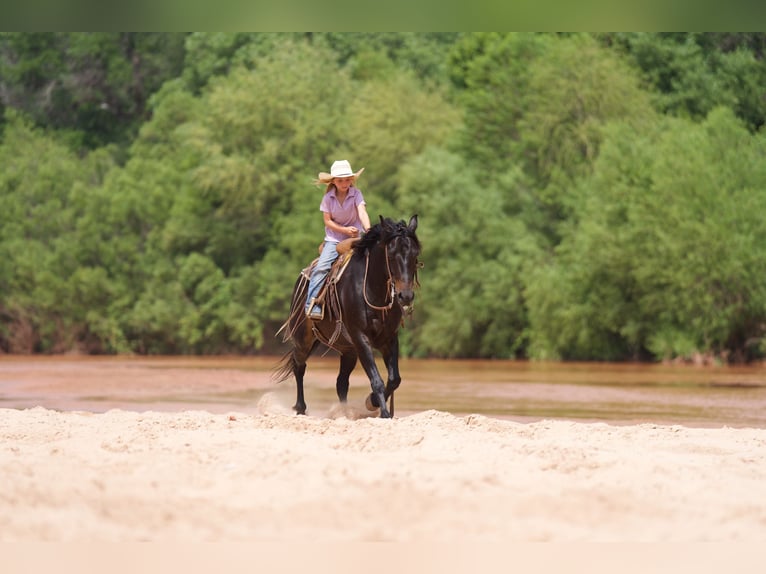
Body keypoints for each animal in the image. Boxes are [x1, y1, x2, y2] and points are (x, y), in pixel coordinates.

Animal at [274, 215, 424, 418]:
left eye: (415, 254)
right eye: (391, 255)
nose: (405, 296)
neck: (371, 289)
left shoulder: (389, 339)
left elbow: (394, 379)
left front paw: (372, 402)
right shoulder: (361, 338)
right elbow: (376, 380)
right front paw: (383, 412)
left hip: (348, 350)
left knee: (341, 383)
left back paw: (344, 413)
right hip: (303, 339)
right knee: (299, 366)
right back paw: (301, 408)